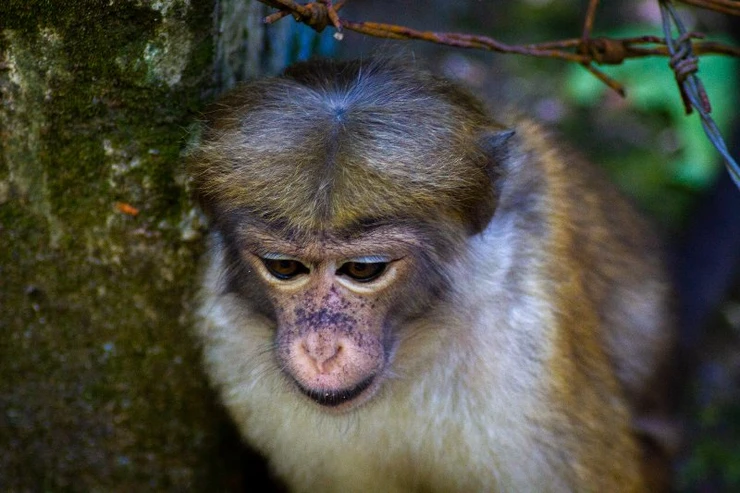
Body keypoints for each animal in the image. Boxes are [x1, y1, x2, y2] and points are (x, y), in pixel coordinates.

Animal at [189, 58, 676, 492]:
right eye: (285, 267)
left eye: (363, 269)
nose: (321, 349)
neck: (416, 344)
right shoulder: (229, 347)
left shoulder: (527, 354)